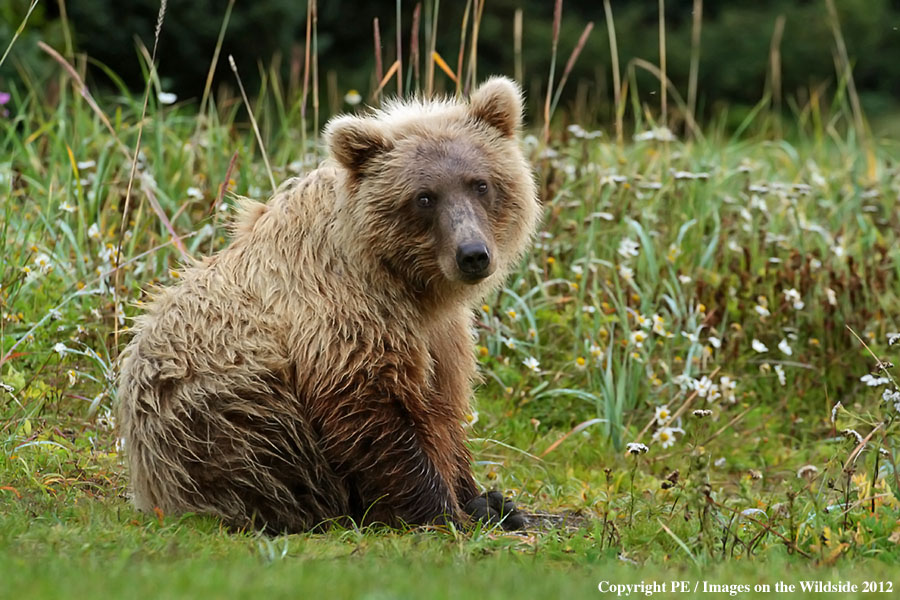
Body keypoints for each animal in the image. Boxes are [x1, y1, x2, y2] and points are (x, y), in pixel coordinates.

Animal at [119, 76, 540, 536]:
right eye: (424, 197)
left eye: (480, 183)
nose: (473, 254)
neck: (406, 280)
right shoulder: (344, 316)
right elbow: (373, 410)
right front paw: (443, 511)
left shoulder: (441, 332)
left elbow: (445, 400)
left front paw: (489, 501)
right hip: (231, 418)